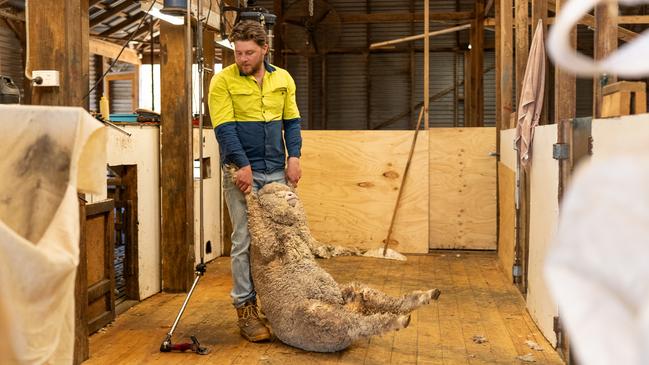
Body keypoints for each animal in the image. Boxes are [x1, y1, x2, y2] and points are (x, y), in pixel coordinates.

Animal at [243, 183, 440, 352]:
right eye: (276, 195)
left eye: (288, 191)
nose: (292, 196)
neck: (285, 227)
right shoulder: (265, 243)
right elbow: (256, 221)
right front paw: (244, 187)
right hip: (318, 316)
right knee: (358, 324)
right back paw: (401, 319)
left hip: (350, 295)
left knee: (378, 301)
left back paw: (425, 297)